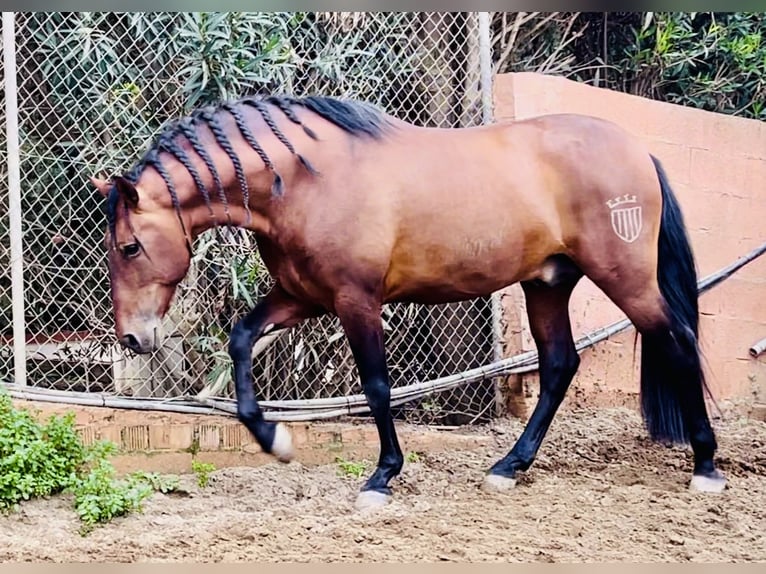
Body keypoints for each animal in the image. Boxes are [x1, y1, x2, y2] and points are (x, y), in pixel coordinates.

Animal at [90, 94, 726, 509]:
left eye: (128, 246)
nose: (132, 337)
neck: (306, 179)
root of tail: (639, 152)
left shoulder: (356, 300)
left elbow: (376, 386)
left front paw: (382, 477)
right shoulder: (303, 296)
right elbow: (242, 339)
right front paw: (275, 441)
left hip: (626, 278)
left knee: (678, 340)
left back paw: (706, 466)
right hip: (547, 284)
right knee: (558, 365)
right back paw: (508, 468)